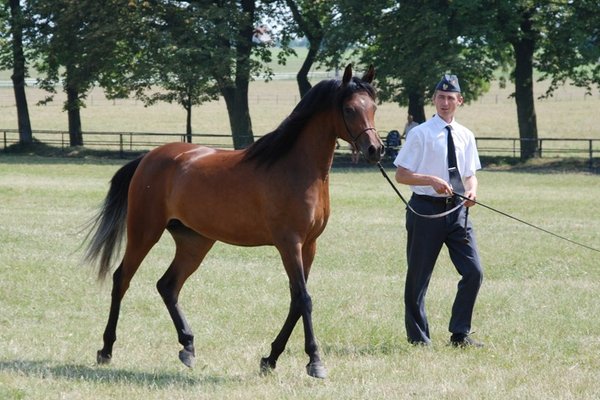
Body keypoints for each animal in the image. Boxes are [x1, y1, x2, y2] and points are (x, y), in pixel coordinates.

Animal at [83, 63, 384, 378]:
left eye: (374, 106)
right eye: (349, 109)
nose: (376, 149)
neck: (296, 168)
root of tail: (148, 158)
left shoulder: (309, 245)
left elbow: (295, 301)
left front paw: (270, 358)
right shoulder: (289, 243)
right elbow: (304, 299)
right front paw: (315, 361)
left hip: (194, 241)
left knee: (168, 285)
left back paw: (188, 347)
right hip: (144, 232)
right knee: (122, 279)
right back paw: (106, 350)